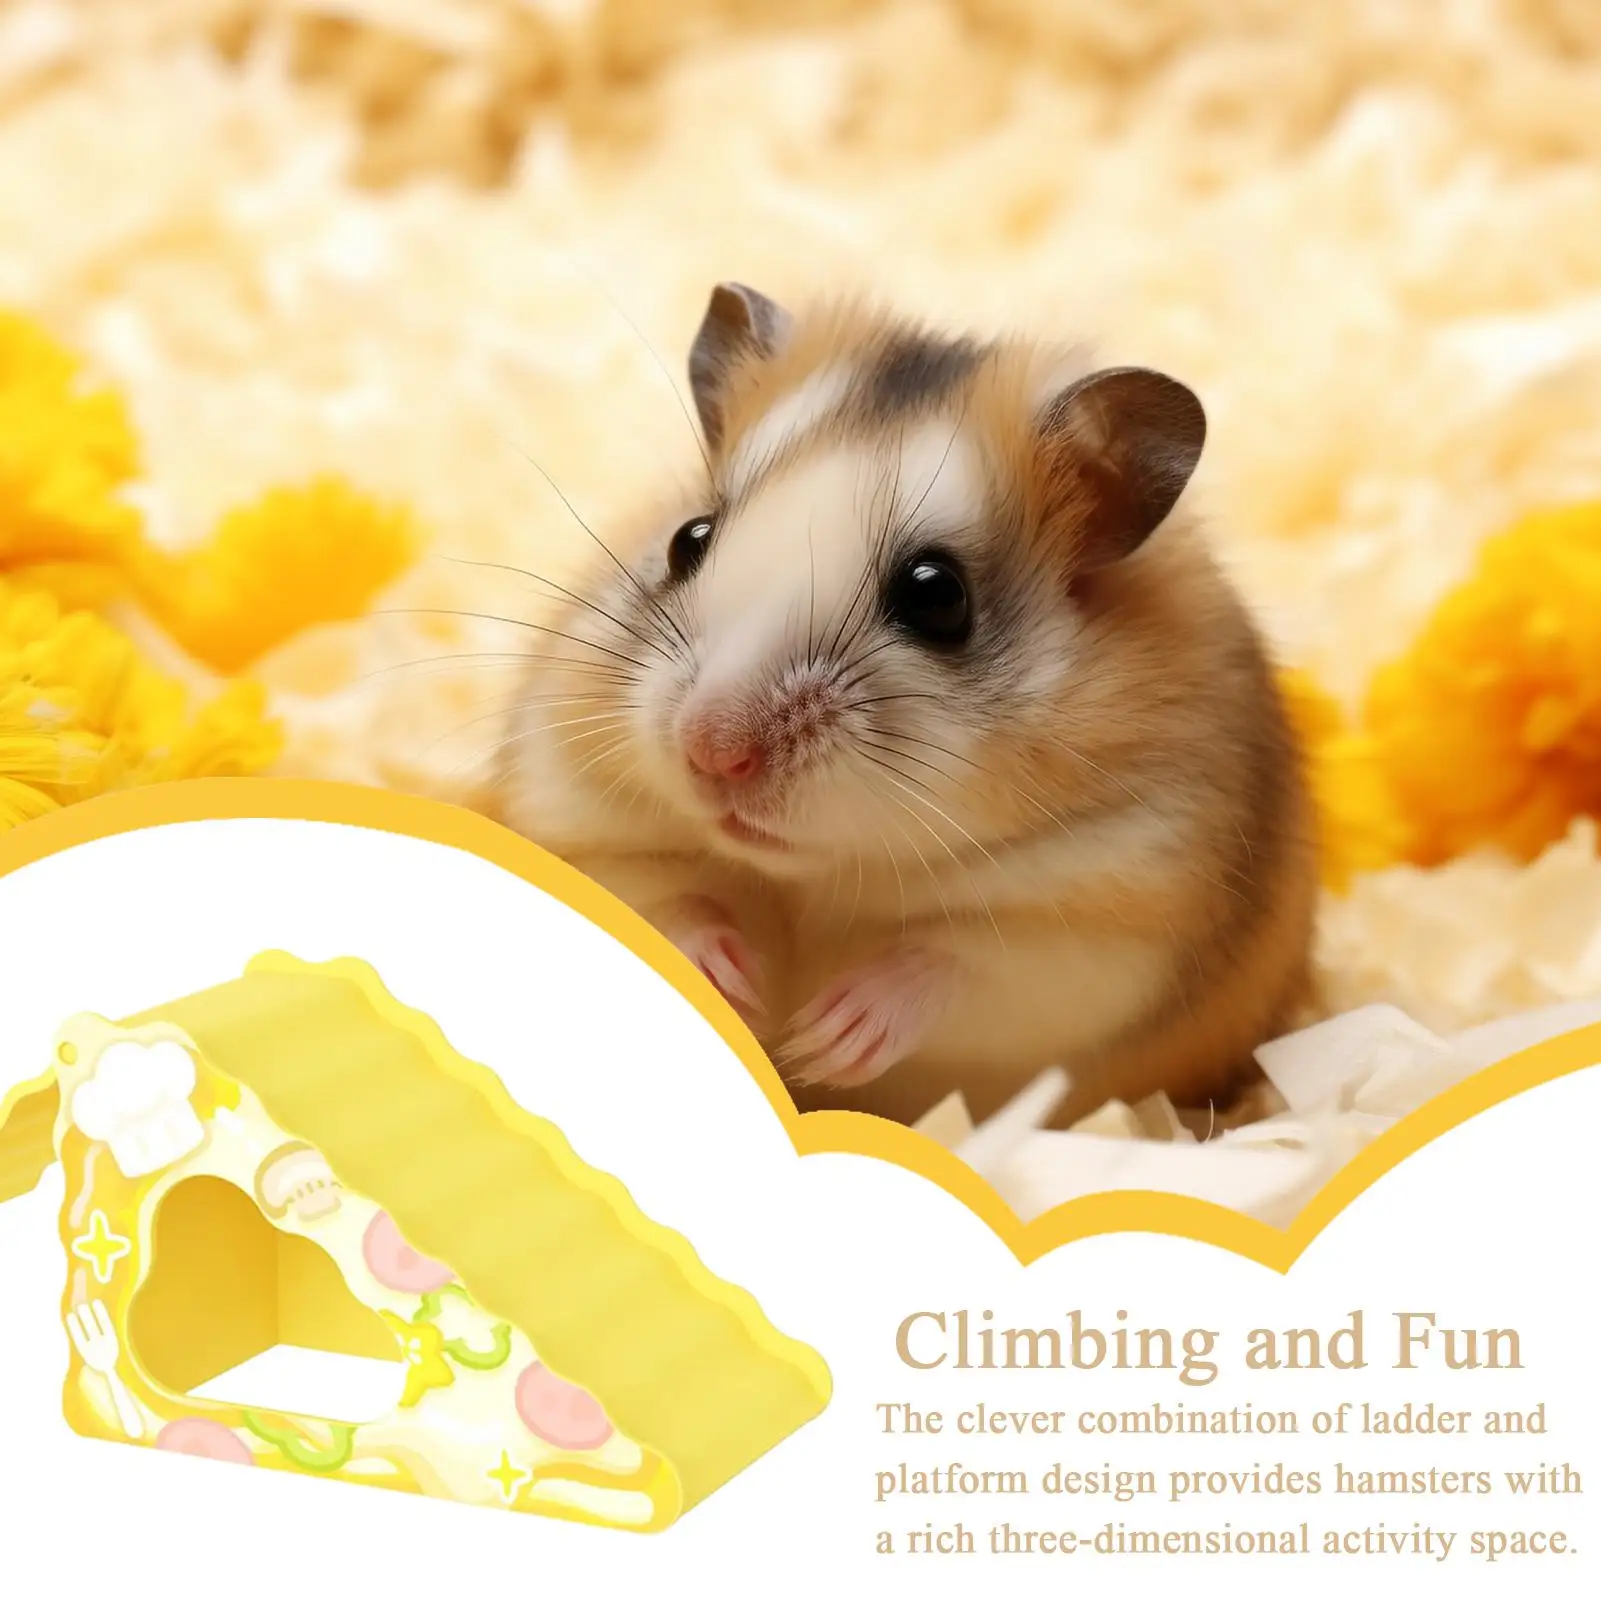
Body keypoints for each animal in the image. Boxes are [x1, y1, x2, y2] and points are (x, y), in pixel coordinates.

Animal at [496, 283, 1318, 1130]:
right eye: (688, 540)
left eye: (937, 596)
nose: (712, 752)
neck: (813, 874)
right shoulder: (584, 824)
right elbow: (666, 902)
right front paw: (738, 984)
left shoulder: (1108, 930)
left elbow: (952, 965)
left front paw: (821, 1037)